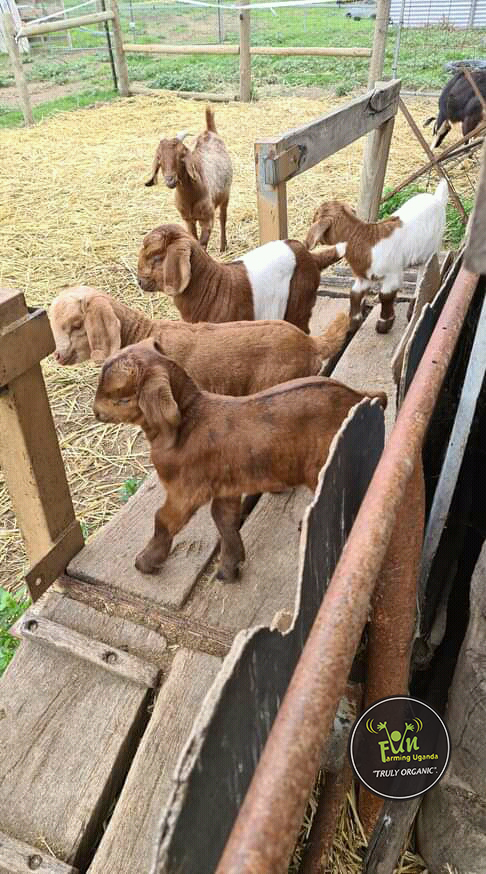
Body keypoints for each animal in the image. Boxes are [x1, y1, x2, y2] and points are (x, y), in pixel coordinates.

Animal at [93, 338, 386, 580]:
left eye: (123, 399)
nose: (95, 412)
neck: (188, 421)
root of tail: (359, 396)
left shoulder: (185, 490)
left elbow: (163, 521)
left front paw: (145, 562)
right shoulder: (226, 485)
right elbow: (224, 520)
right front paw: (229, 567)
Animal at [144, 106, 232, 252]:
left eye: (181, 156)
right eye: (159, 159)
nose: (170, 180)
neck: (192, 196)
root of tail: (209, 131)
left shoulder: (207, 219)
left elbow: (202, 243)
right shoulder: (188, 219)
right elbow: (194, 240)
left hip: (226, 193)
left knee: (223, 217)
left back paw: (223, 246)